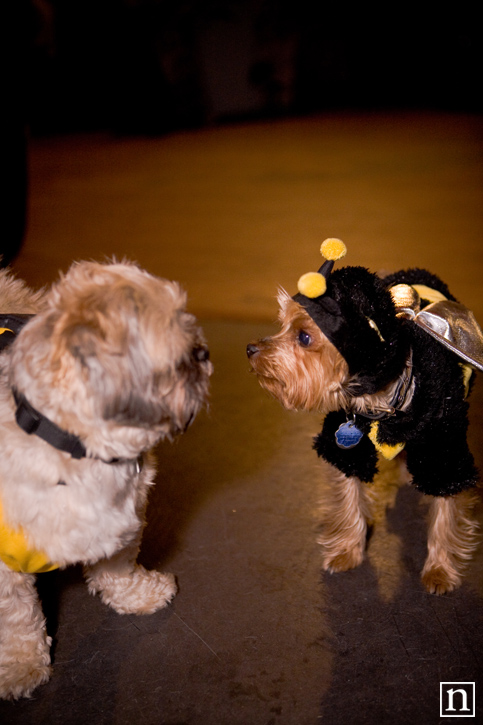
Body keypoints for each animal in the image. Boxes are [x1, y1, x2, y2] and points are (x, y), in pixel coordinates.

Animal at [0, 260, 212, 696]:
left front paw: (134, 594)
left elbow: (117, 564)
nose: (204, 353)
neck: (75, 448)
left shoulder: (124, 515)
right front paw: (20, 662)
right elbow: (16, 615)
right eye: (177, 357)